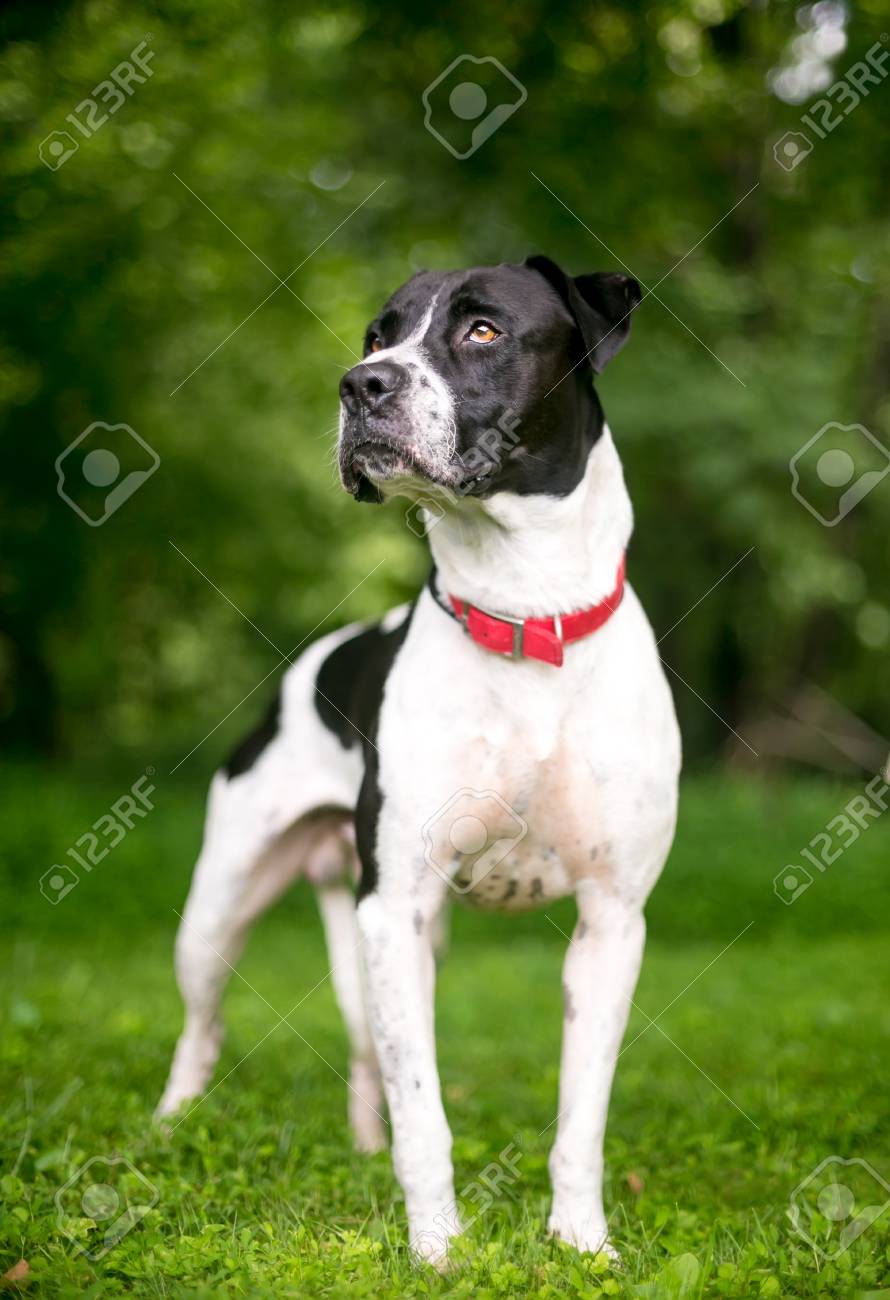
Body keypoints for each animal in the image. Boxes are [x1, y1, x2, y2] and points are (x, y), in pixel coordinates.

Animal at [155, 258, 675, 1263]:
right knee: (204, 1026)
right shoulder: (392, 908)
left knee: (366, 1052)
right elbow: (426, 1113)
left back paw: (361, 1147)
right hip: (221, 910)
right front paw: (439, 1249)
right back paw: (169, 1128)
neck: (524, 615)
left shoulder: (611, 923)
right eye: (376, 335)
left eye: (483, 330)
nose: (360, 386)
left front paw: (582, 1241)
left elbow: (581, 1116)